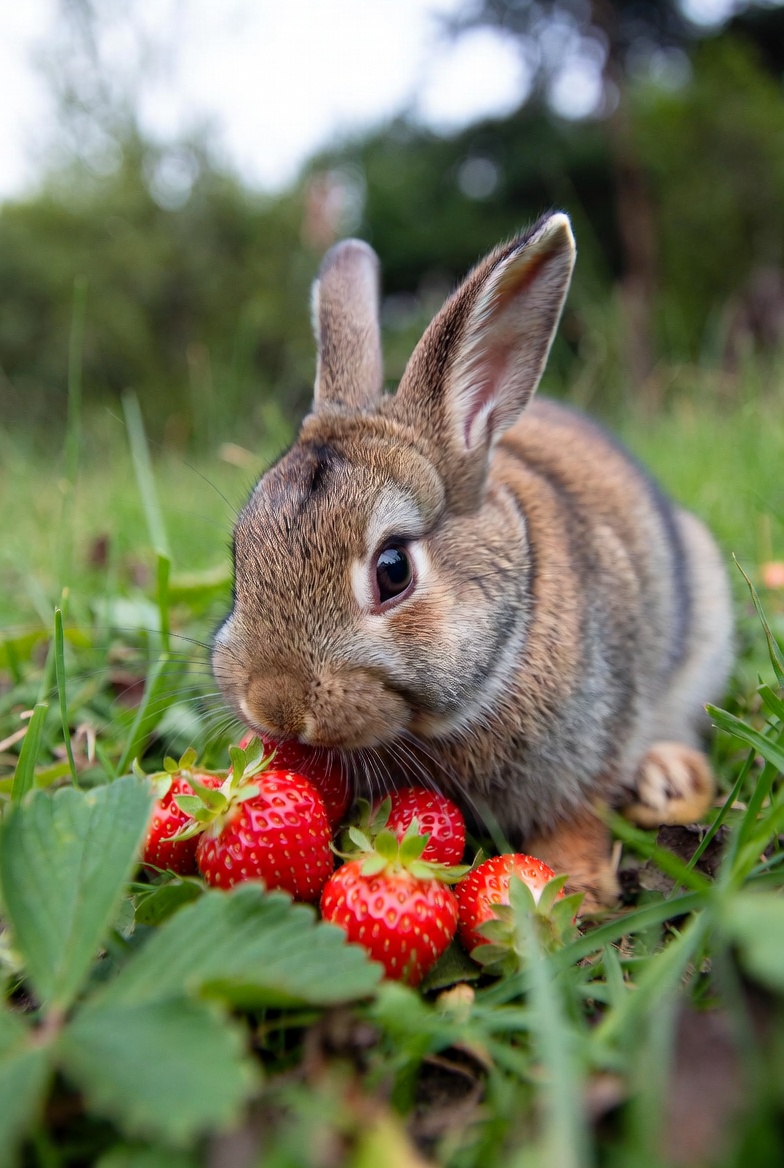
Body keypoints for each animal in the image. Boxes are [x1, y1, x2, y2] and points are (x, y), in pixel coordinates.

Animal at [212, 212, 734, 908]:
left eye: (393, 570)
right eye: (239, 555)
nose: (274, 707)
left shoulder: (593, 740)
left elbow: (579, 815)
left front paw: (579, 893)